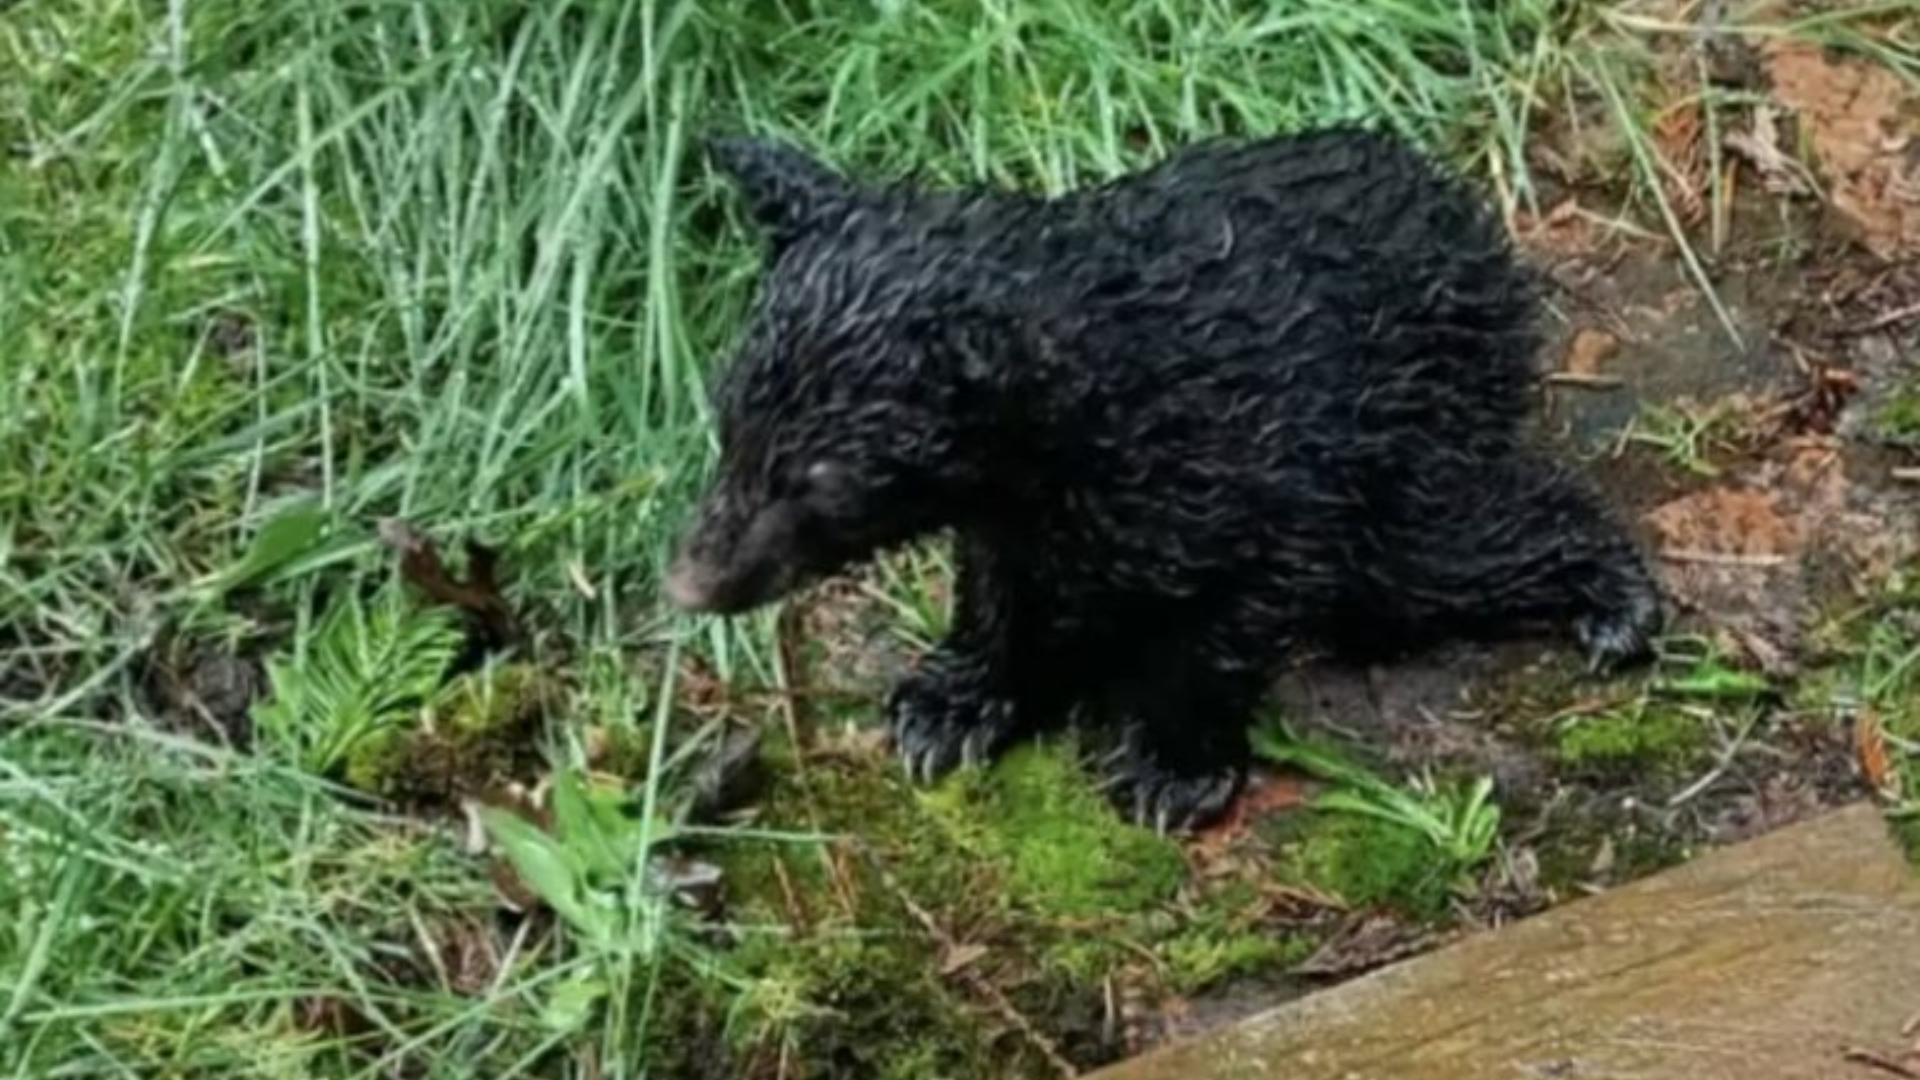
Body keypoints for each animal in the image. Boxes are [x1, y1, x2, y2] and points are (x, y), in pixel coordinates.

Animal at [666, 128, 1662, 833]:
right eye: (726, 419)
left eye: (827, 480)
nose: (688, 583)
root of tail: (1468, 215)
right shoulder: (1022, 516)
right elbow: (1002, 597)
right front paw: (951, 708)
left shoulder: (1269, 486)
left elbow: (1217, 634)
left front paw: (1173, 770)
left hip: (1410, 434)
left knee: (1451, 542)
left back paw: (1617, 601)